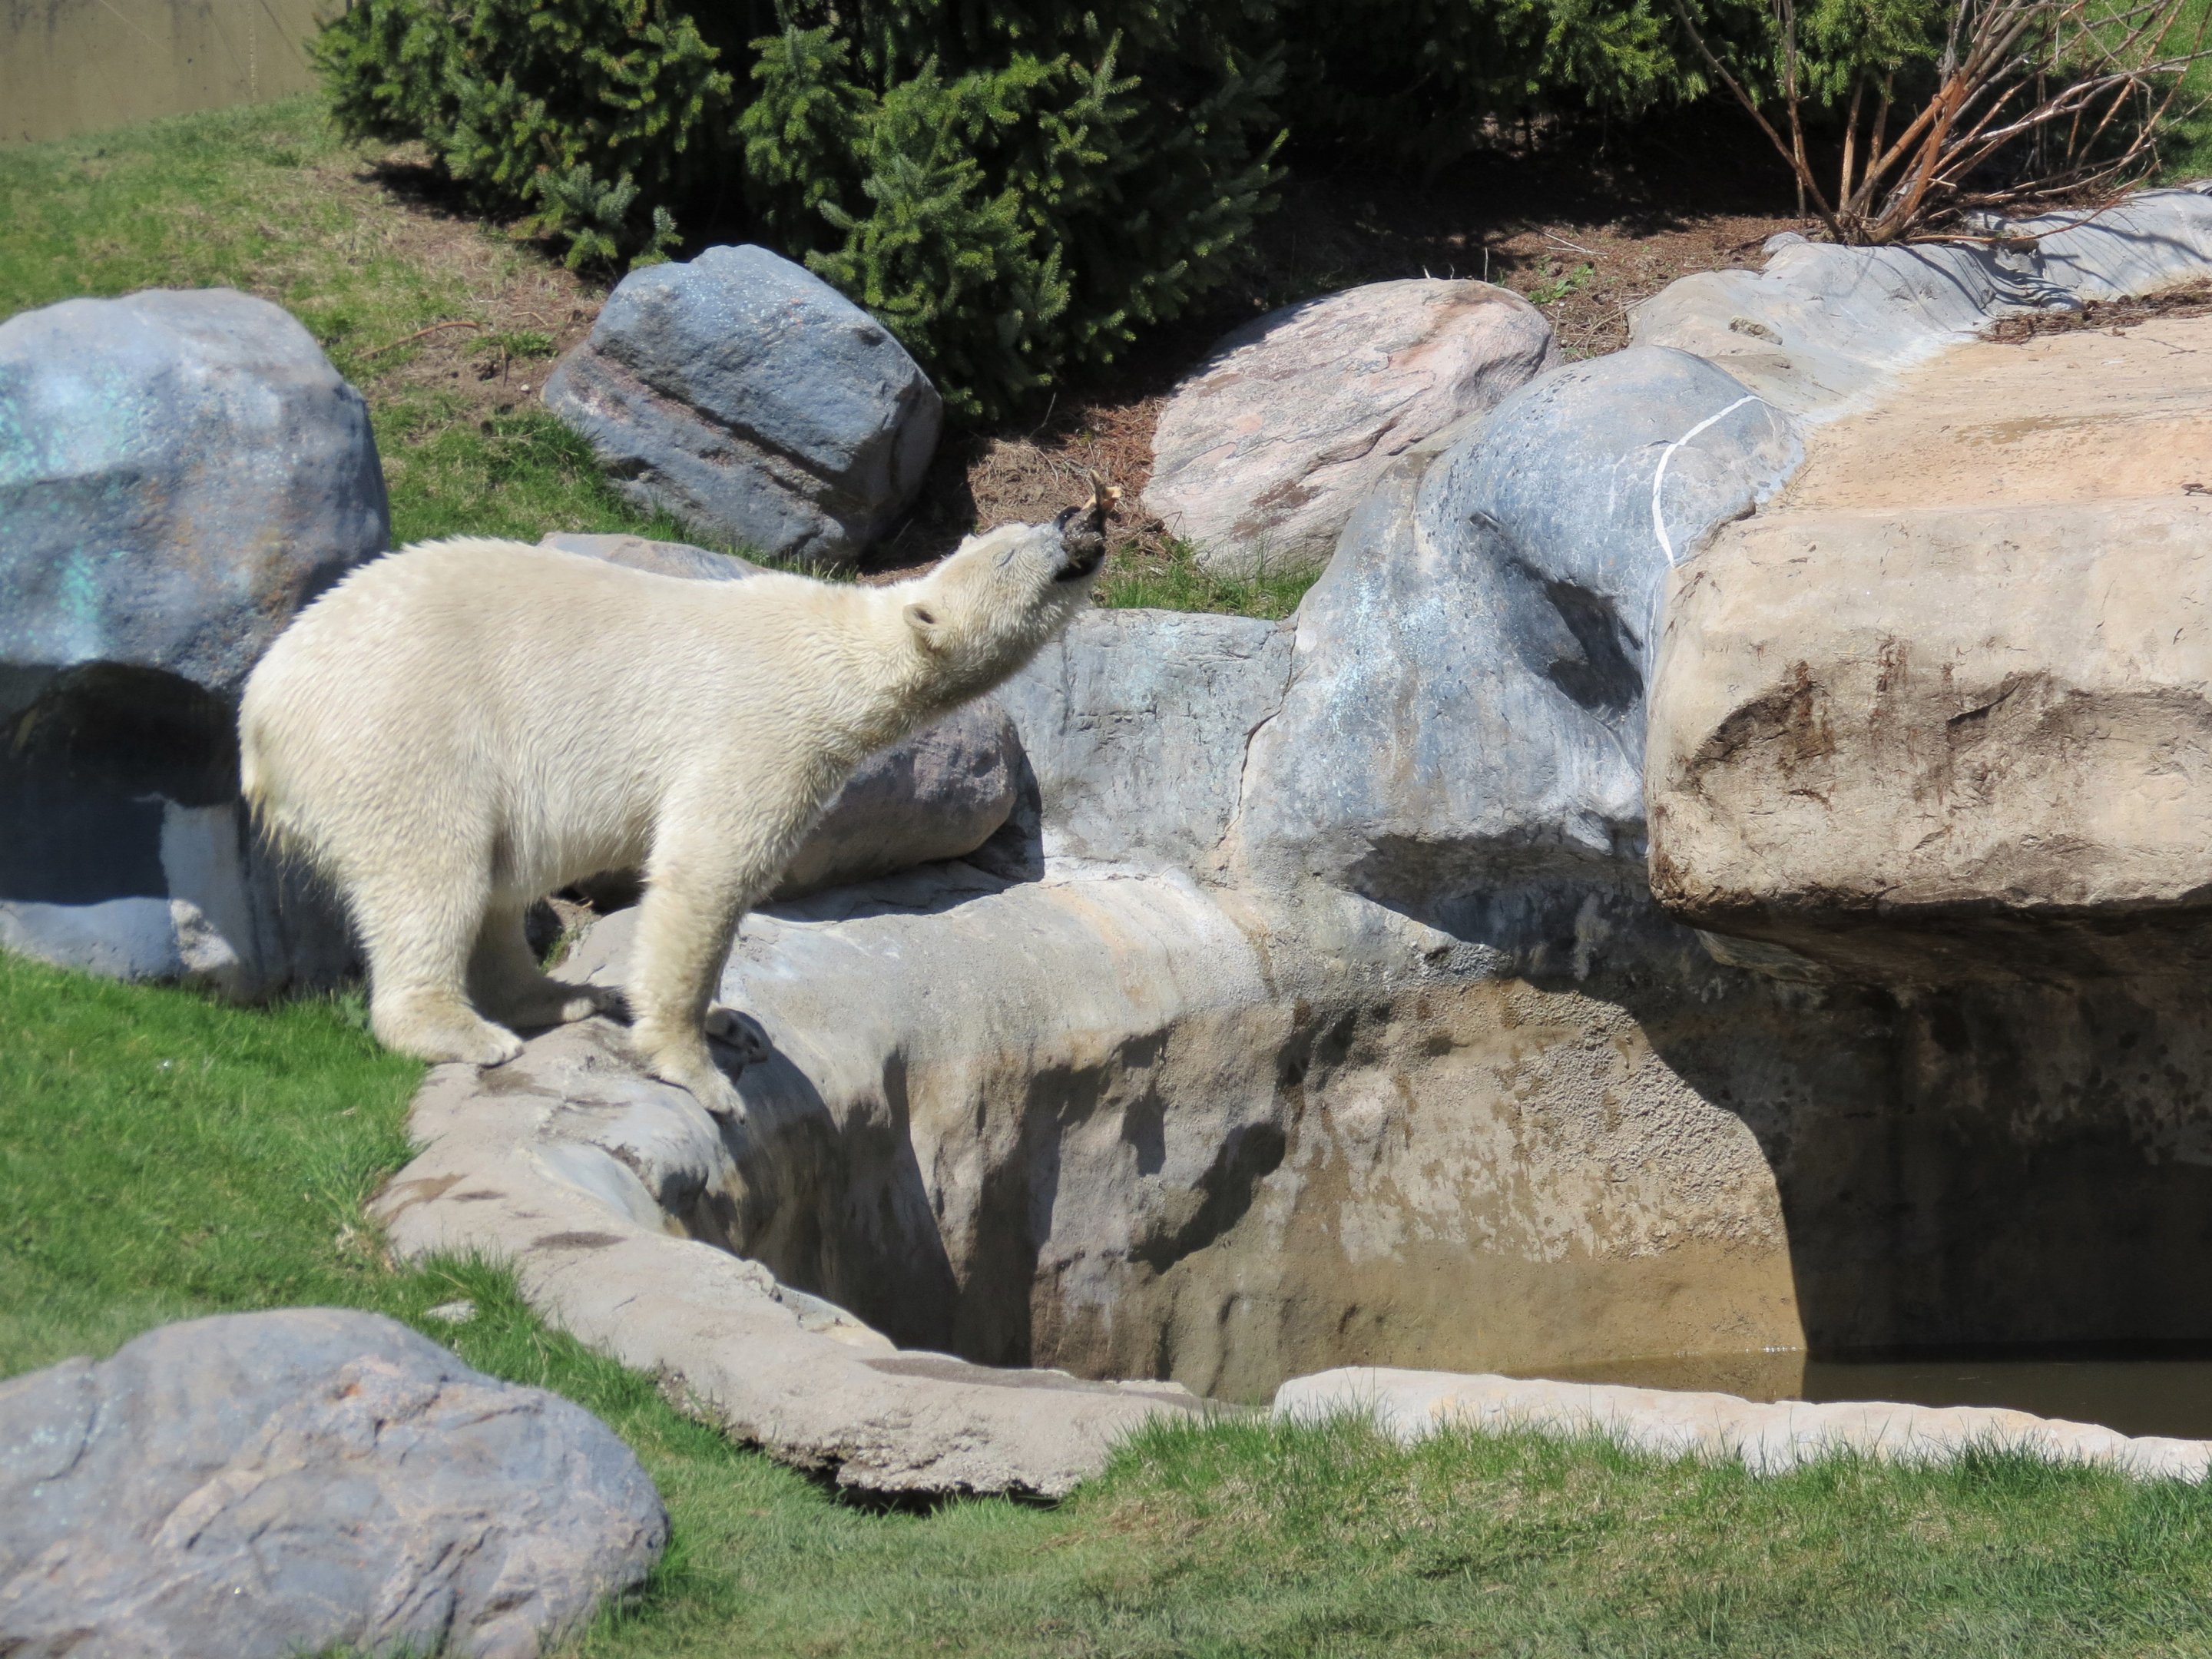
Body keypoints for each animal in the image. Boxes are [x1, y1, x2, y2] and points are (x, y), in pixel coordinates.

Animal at [239, 489, 1116, 1117]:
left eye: (1016, 527)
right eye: (1012, 552)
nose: (1076, 518)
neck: (840, 654)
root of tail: (260, 709)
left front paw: (732, 1021)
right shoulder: (760, 732)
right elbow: (707, 874)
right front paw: (699, 1069)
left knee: (493, 881)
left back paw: (565, 996)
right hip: (401, 731)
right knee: (434, 870)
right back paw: (464, 1032)